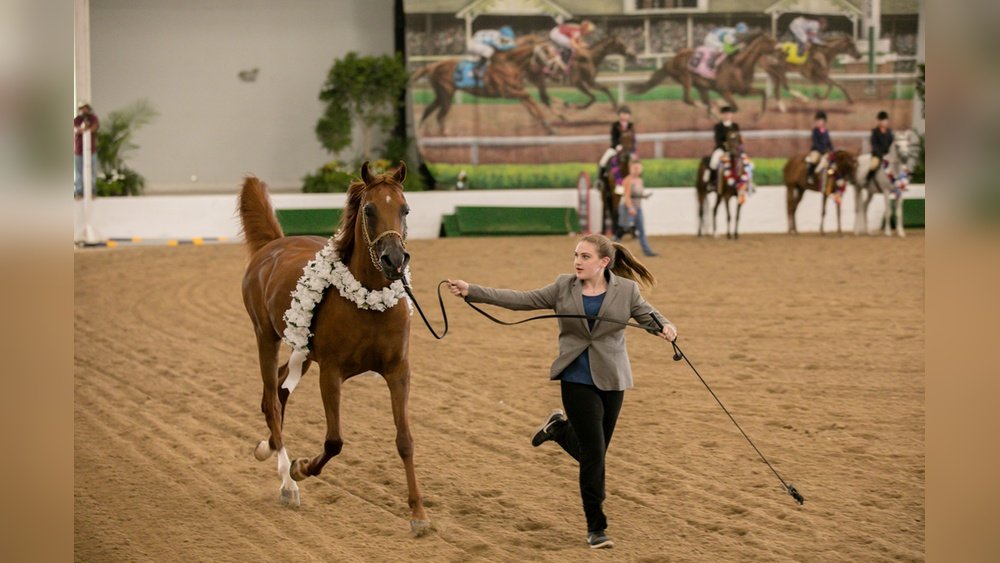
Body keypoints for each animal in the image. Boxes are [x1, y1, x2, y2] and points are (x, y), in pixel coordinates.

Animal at [238, 161, 431, 536]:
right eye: (369, 210)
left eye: (405, 209)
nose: (395, 259)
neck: (369, 303)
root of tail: (272, 246)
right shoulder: (330, 372)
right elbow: (334, 441)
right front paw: (300, 468)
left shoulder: (399, 371)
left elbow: (405, 440)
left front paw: (418, 513)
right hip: (264, 336)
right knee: (272, 399)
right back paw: (287, 482)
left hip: (301, 351)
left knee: (278, 392)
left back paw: (267, 447)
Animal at [409, 43, 557, 135]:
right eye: (547, 53)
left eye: (552, 51)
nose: (555, 65)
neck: (510, 64)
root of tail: (433, 65)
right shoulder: (508, 91)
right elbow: (530, 98)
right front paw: (549, 126)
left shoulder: (517, 91)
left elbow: (531, 105)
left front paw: (548, 127)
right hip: (446, 95)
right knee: (440, 115)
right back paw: (443, 134)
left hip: (441, 95)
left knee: (429, 110)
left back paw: (421, 132)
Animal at [629, 32, 777, 120]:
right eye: (770, 42)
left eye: (774, 40)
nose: (780, 48)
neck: (739, 65)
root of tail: (671, 60)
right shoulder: (724, 91)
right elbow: (734, 107)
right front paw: (720, 110)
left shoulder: (743, 90)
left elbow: (763, 93)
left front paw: (759, 115)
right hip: (686, 78)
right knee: (688, 99)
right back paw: (706, 109)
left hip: (701, 85)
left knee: (703, 100)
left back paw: (711, 112)